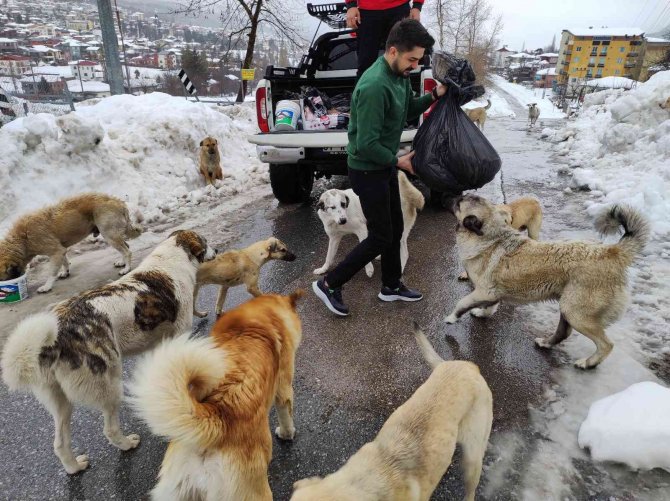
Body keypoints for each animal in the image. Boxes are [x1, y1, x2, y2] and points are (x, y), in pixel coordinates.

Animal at [0, 191, 143, 292]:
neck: (22, 239)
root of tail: (119, 202)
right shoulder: (60, 250)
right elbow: (64, 261)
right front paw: (65, 272)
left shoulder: (56, 251)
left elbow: (52, 272)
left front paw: (47, 286)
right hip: (113, 235)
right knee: (126, 246)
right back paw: (121, 263)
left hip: (109, 235)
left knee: (127, 251)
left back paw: (126, 268)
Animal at [1, 230, 217, 472]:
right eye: (205, 242)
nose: (217, 250)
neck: (172, 258)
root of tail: (56, 335)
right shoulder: (179, 332)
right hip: (110, 385)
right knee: (109, 429)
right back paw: (127, 444)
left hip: (60, 403)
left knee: (59, 443)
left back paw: (75, 467)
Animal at [129, 290, 308, 500]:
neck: (261, 316)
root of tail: (216, 416)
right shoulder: (284, 386)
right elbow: (286, 414)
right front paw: (287, 434)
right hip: (254, 493)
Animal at [446, 193, 652, 370]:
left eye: (460, 203)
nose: (454, 196)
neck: (490, 235)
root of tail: (612, 252)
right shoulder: (492, 292)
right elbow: (490, 306)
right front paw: (482, 313)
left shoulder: (483, 291)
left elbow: (462, 303)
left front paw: (451, 318)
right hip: (568, 308)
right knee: (564, 333)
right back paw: (546, 343)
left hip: (576, 314)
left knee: (606, 344)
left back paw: (588, 363)